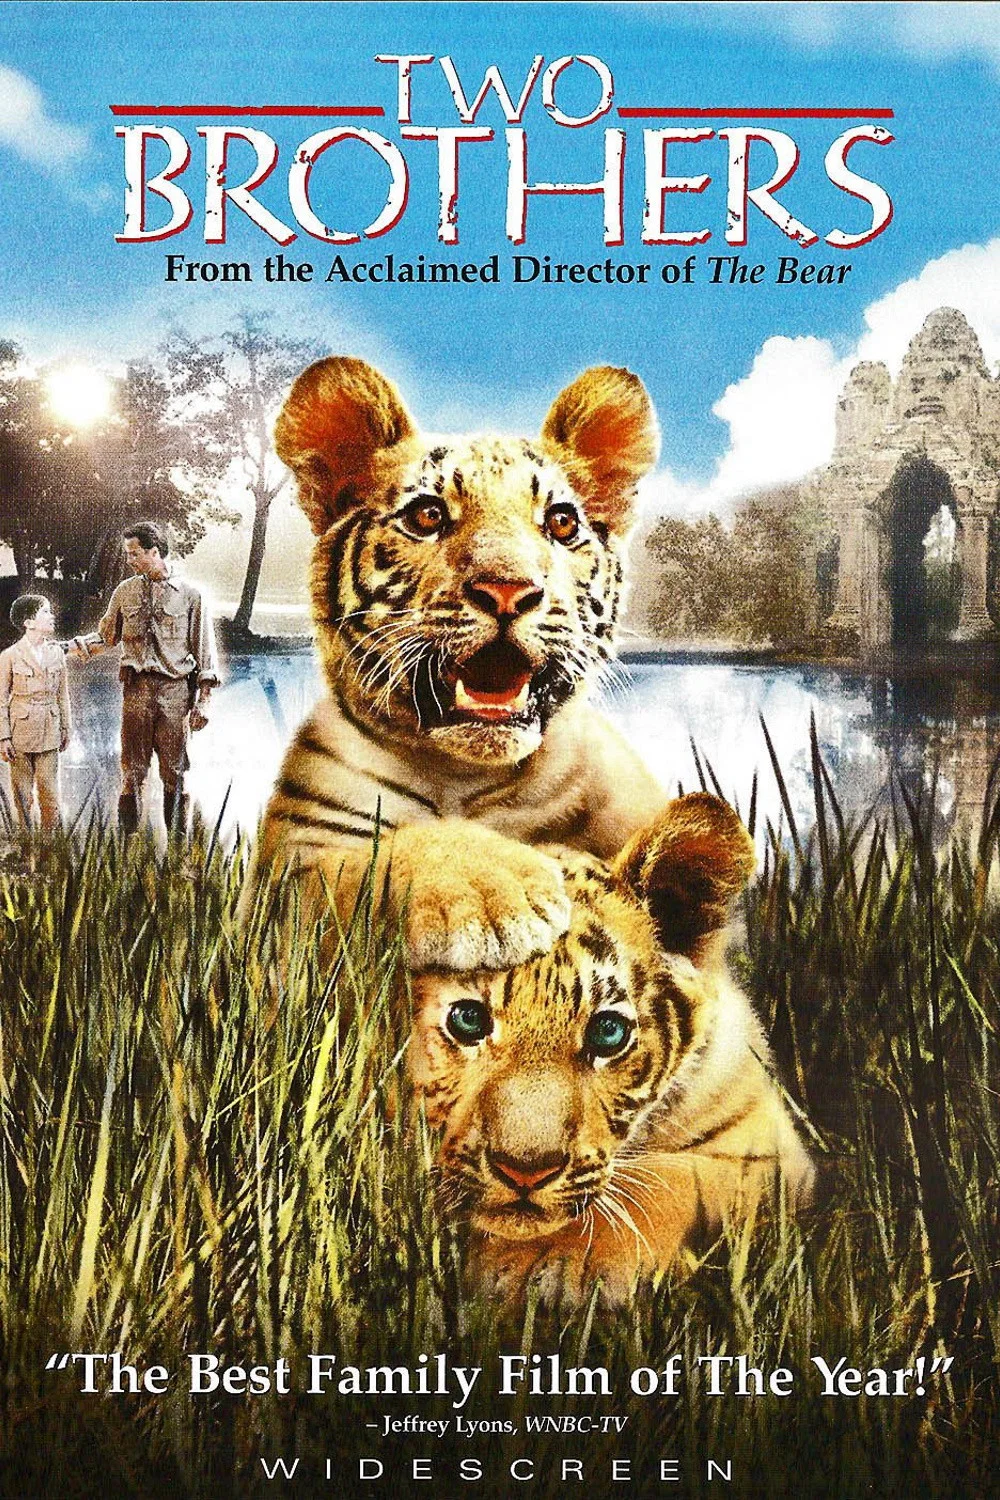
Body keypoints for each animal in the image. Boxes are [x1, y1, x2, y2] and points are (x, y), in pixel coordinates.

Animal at [249, 357, 666, 973]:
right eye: (427, 515)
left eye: (562, 523)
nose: (508, 590)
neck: (464, 776)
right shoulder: (286, 869)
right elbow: (366, 862)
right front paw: (501, 886)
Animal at [409, 793, 815, 1303]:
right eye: (468, 1020)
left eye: (608, 1032)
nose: (525, 1172)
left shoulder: (775, 1154)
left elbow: (672, 1178)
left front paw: (540, 1263)